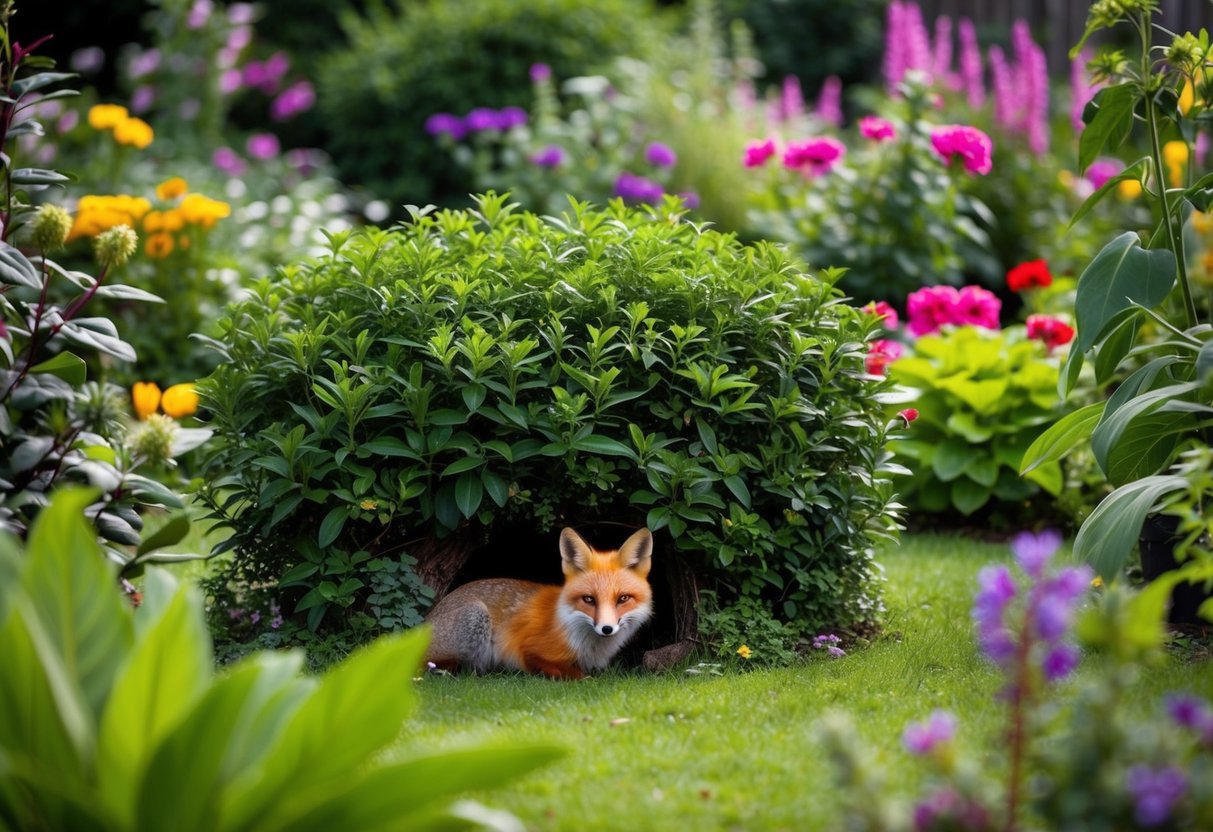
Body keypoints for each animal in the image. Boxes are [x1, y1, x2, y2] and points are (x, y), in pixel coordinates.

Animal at [424, 527, 654, 679]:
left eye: (622, 598)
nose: (607, 628)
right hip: (476, 616)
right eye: (589, 599)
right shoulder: (528, 650)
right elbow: (563, 670)